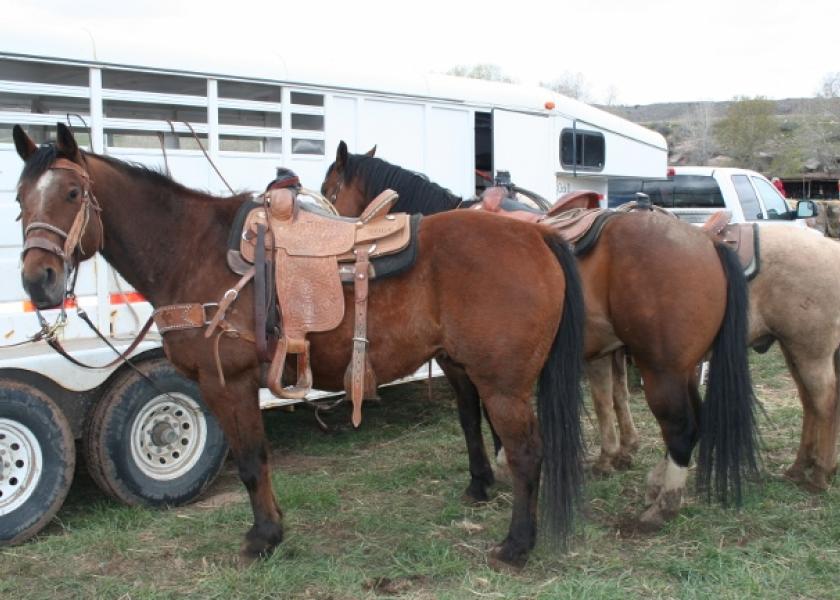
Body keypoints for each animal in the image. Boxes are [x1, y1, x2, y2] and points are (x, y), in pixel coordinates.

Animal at [14, 125, 592, 568]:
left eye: (71, 195)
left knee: (526, 453)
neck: (193, 250)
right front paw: (273, 529)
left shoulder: (228, 383)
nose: (39, 282)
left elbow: (250, 461)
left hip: (503, 385)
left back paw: (516, 546)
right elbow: (260, 460)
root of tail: (537, 235)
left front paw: (262, 539)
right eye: (20, 199)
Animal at [322, 143, 760, 528]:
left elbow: (473, 418)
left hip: (661, 369)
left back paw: (659, 508)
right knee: (693, 422)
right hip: (681, 366)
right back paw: (655, 484)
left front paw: (483, 480)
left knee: (681, 428)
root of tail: (706, 241)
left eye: (329, 190)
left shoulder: (463, 365)